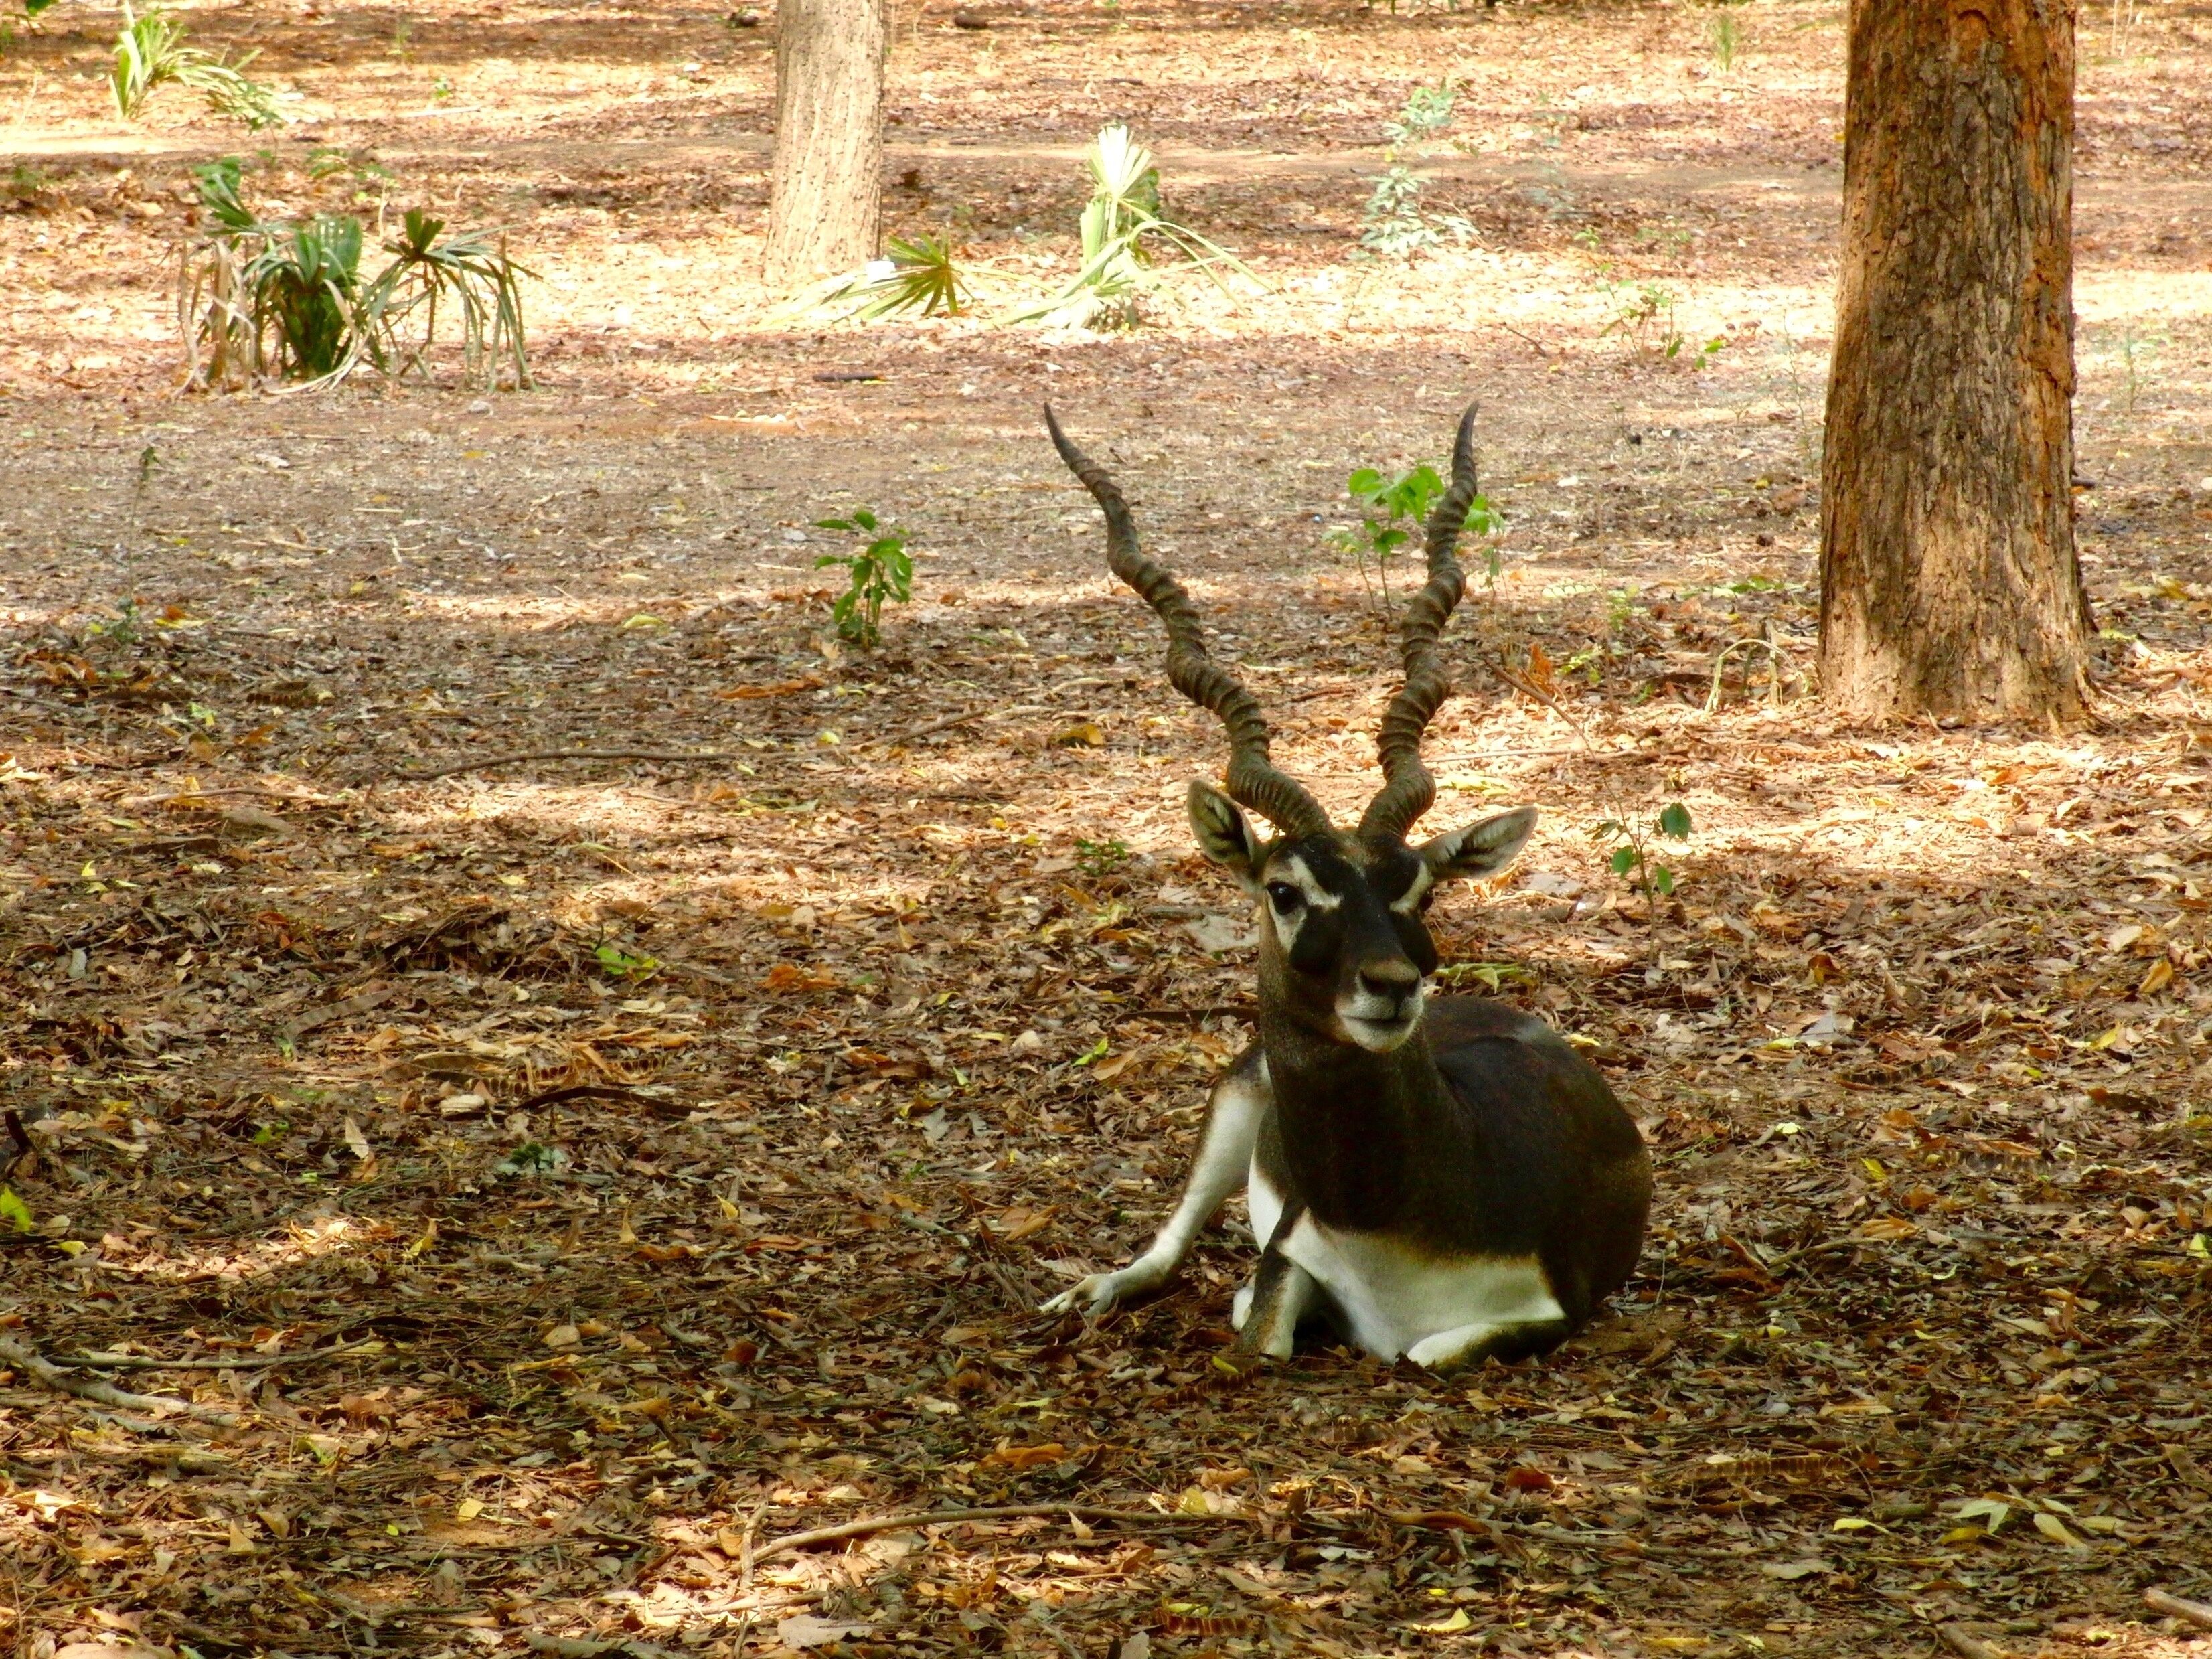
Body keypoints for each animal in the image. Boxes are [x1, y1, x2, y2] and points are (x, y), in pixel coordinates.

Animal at [1038, 403, 1651, 1371]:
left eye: (1421, 893)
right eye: (1284, 890)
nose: (1393, 985)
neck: (1390, 1226)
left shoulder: (1552, 1307)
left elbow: (1423, 1353)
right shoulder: (1286, 1257)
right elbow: (1259, 1329)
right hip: (1234, 1099)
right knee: (1168, 1245)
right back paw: (1084, 1294)